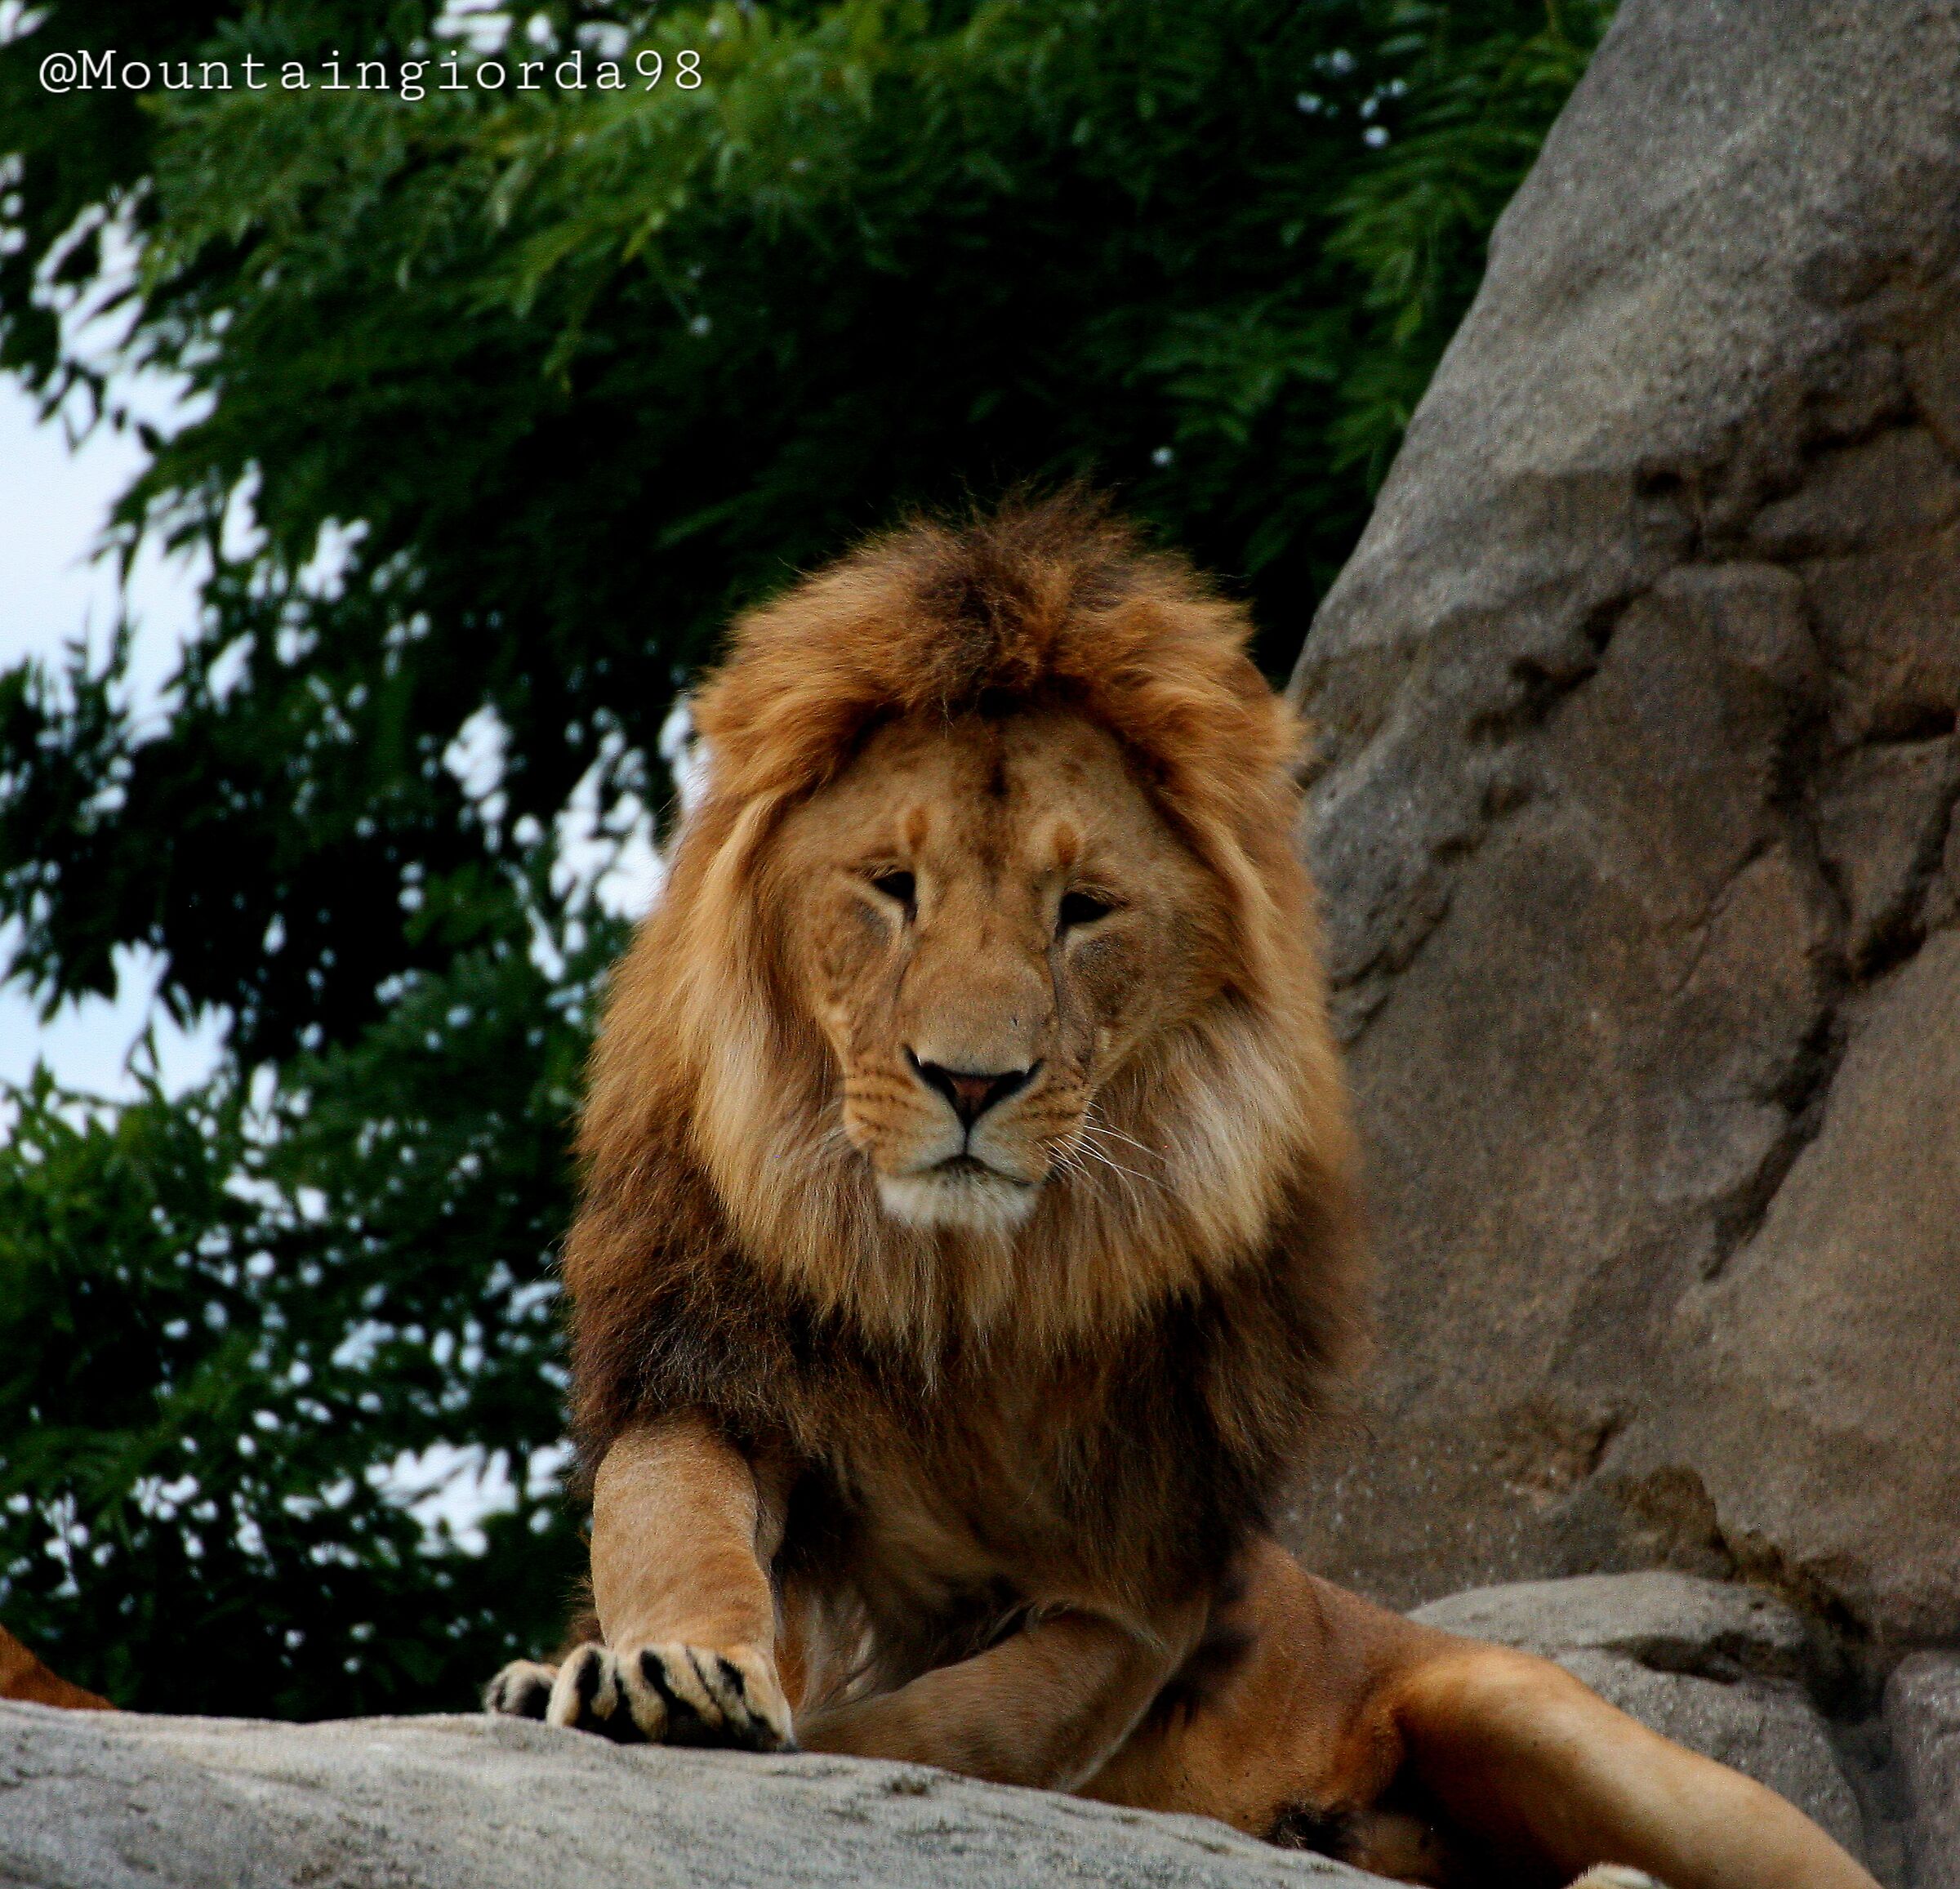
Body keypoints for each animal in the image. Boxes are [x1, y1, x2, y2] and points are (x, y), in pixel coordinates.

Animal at [485, 497, 1875, 1889]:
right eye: (890, 887)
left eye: (1083, 911)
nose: (972, 1081)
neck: (950, 1284)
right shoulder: (721, 1372)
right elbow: (672, 1519)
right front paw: (657, 1673)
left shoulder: (1138, 1591)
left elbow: (943, 1725)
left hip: (1541, 1719)